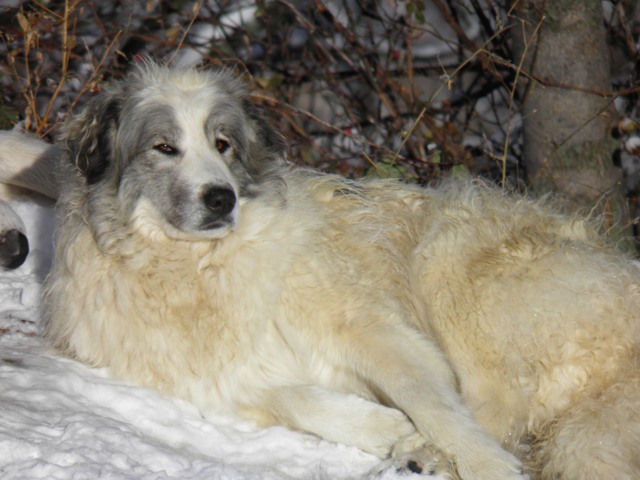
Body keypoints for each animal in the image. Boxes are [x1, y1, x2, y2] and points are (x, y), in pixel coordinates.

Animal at [1, 61, 640, 480]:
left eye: (223, 143)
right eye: (164, 148)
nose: (221, 199)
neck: (198, 266)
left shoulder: (372, 328)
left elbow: (431, 398)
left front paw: (479, 461)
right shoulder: (218, 380)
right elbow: (298, 400)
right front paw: (389, 430)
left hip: (448, 255)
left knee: (497, 402)